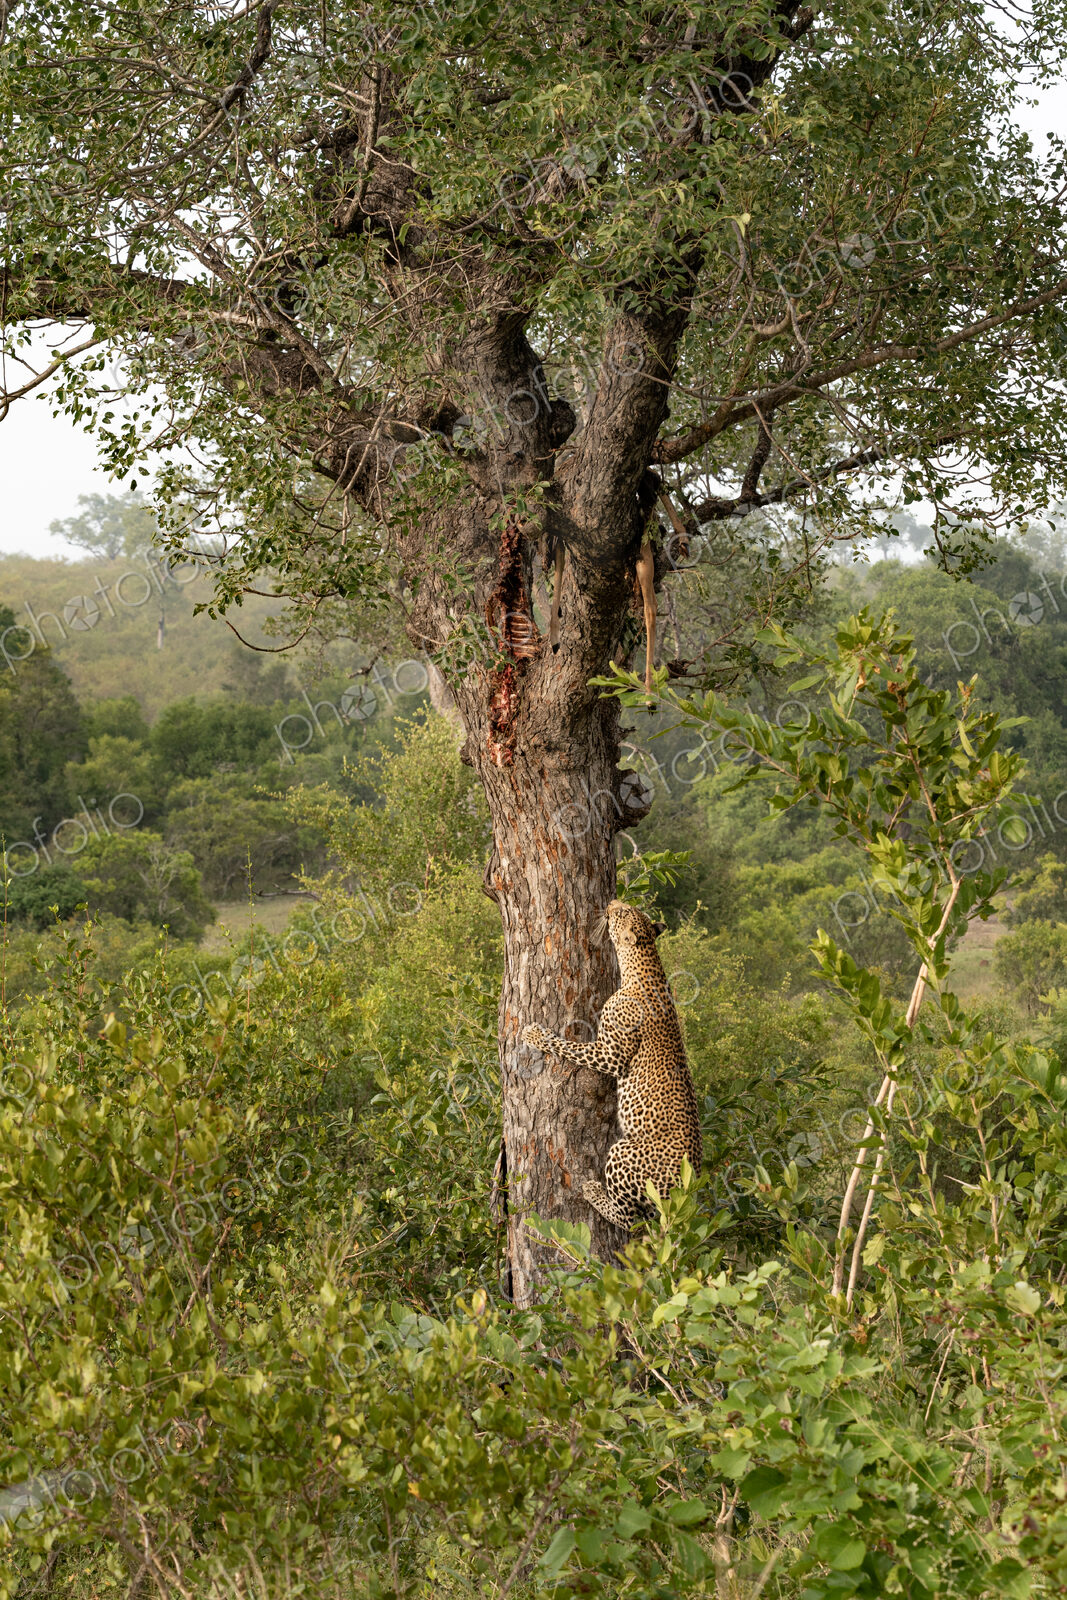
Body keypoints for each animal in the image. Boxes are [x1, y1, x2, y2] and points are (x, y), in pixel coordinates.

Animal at [522, 899, 703, 1231]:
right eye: (629, 908)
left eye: (621, 913)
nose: (611, 903)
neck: (644, 965)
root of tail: (688, 1190)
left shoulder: (611, 1055)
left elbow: (569, 1046)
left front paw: (535, 1034)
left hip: (623, 1152)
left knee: (628, 1219)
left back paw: (593, 1191)